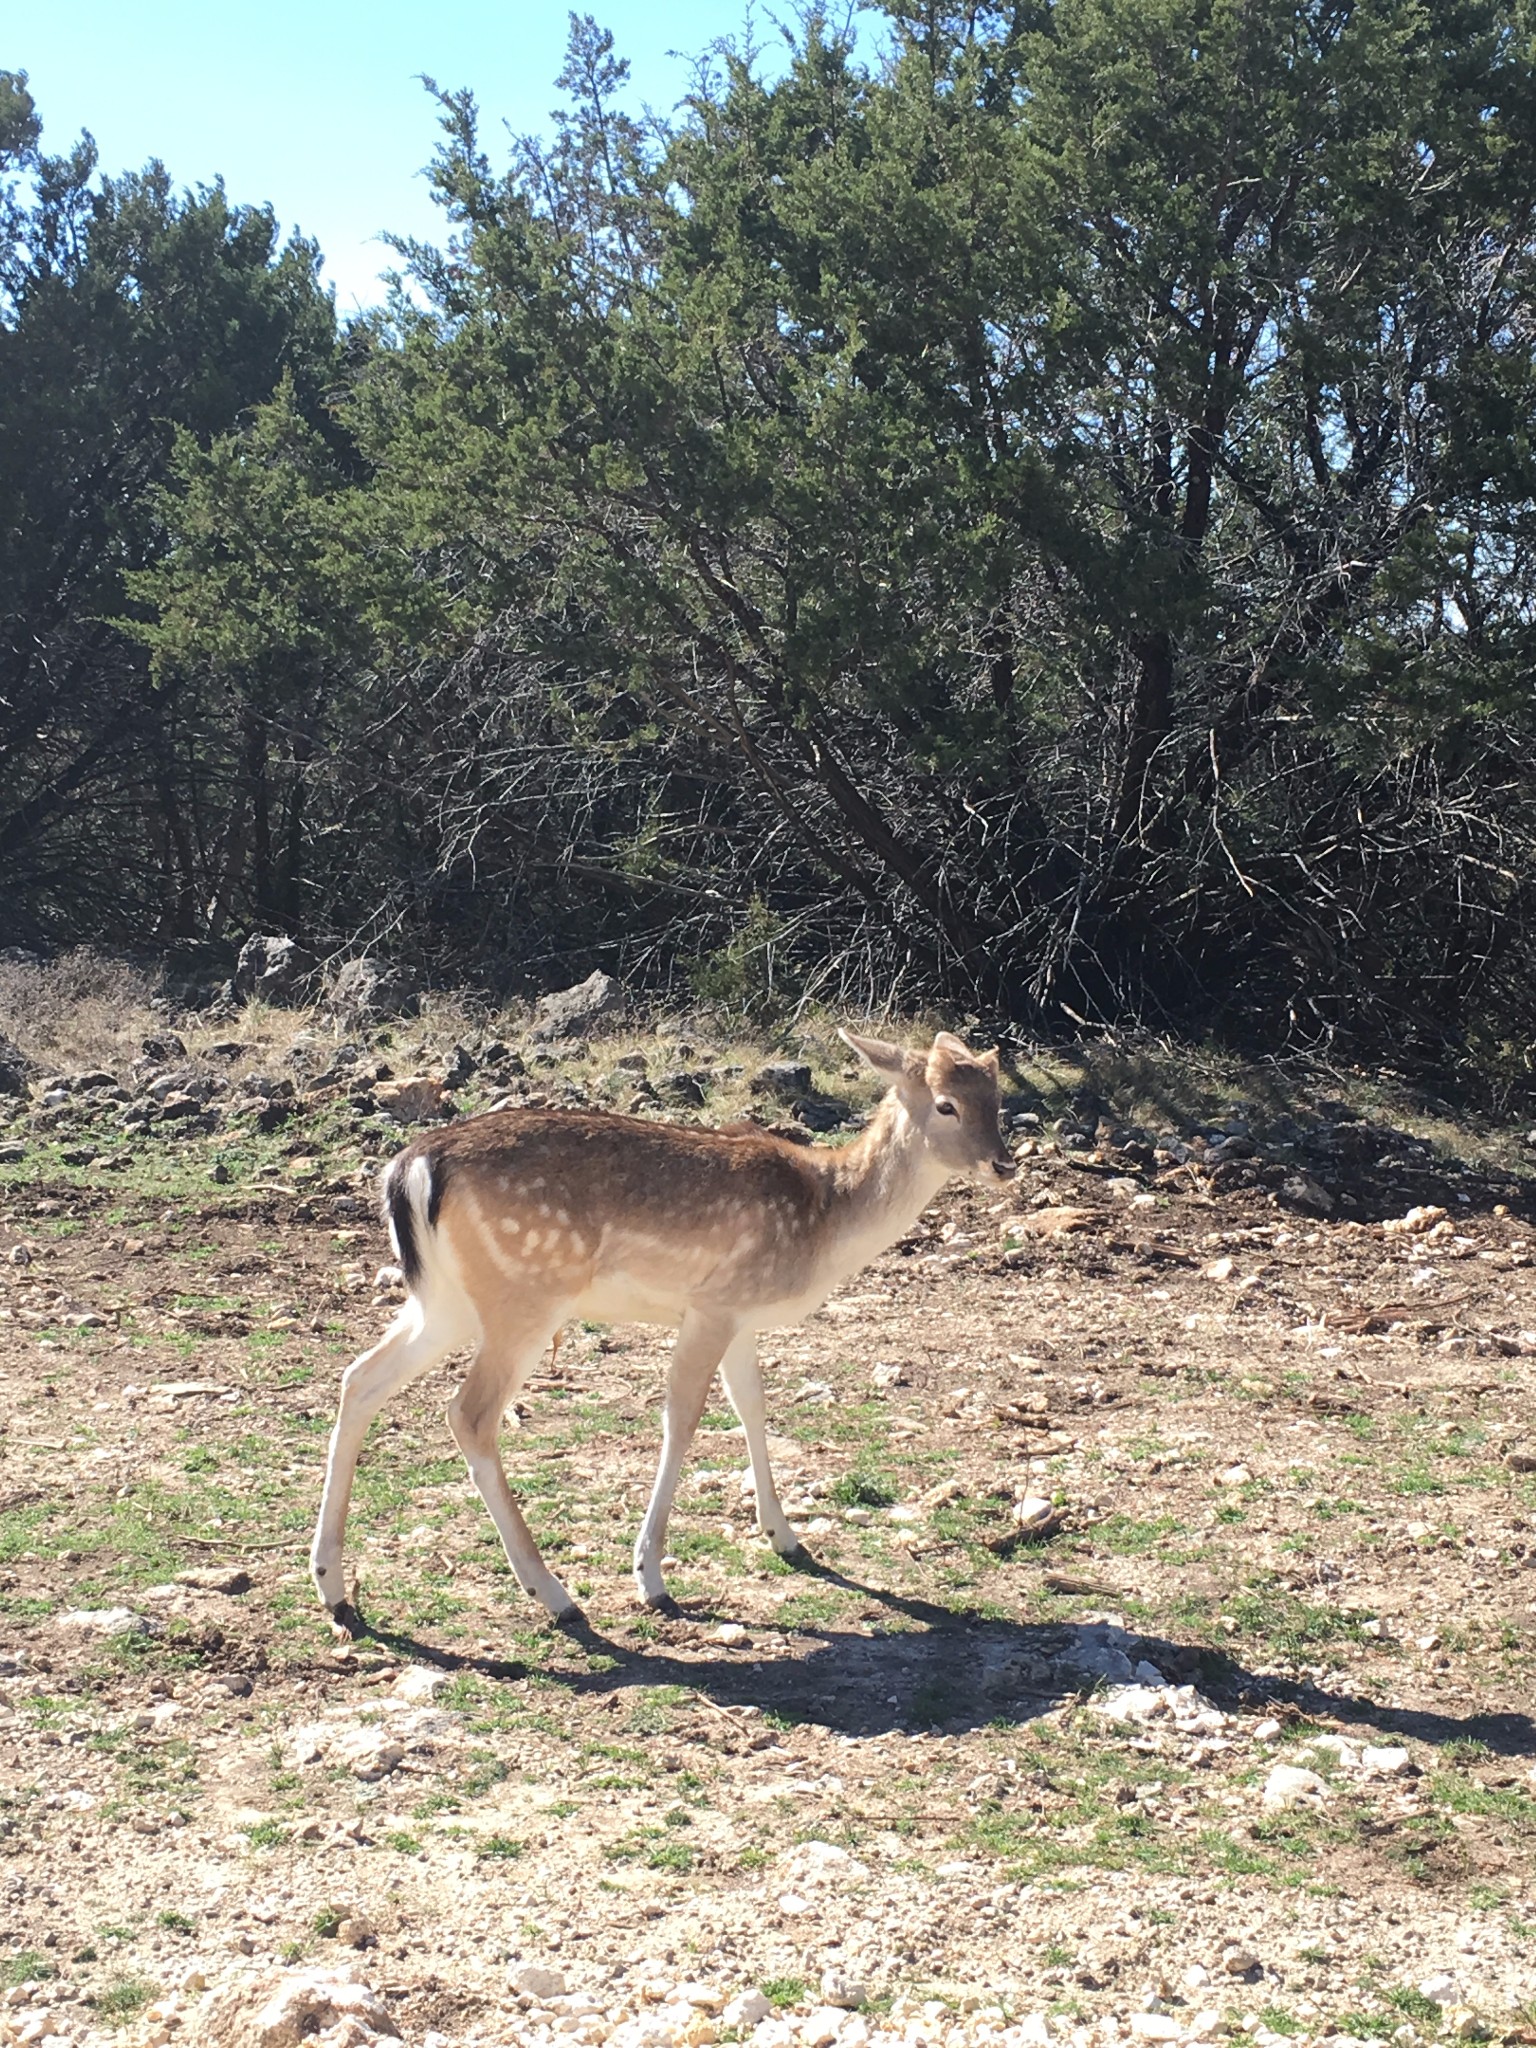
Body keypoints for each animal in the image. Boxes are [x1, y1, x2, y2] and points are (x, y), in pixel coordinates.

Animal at [309, 1024, 1015, 1630]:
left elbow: (753, 1406)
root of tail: (410, 1168)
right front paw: (651, 1577)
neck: (824, 1221)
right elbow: (682, 1418)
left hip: (443, 1300)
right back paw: (555, 1595)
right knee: (468, 1413)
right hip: (523, 1297)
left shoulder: (742, 1317)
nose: (1004, 1165)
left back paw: (334, 1588)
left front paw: (784, 1536)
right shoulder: (712, 1305)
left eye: (998, 1094)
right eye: (947, 1105)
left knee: (359, 1378)